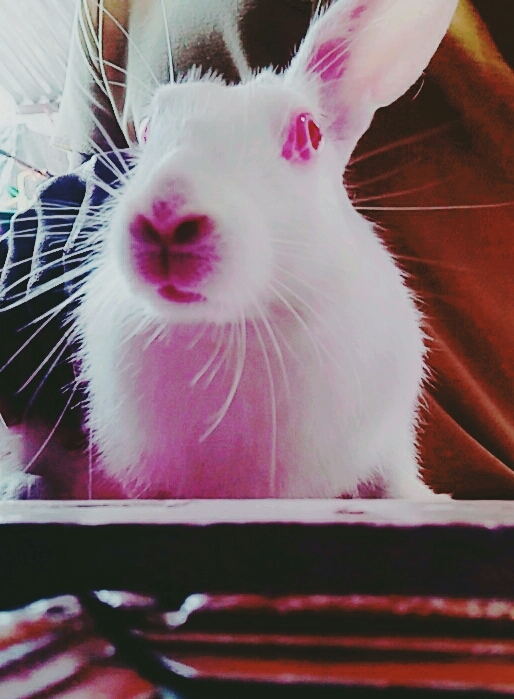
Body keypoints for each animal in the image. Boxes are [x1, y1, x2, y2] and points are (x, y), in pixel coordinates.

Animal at [0, 0, 458, 499]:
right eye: (148, 131)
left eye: (308, 133)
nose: (164, 218)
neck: (235, 330)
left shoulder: (386, 439)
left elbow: (395, 483)